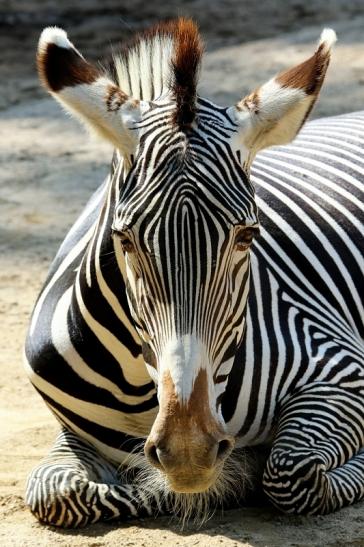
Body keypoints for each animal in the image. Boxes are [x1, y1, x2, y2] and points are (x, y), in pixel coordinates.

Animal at [23, 19, 364, 528]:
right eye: (125, 239)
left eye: (247, 236)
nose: (188, 451)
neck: (136, 388)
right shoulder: (71, 432)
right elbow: (59, 492)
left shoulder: (341, 369)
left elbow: (292, 474)